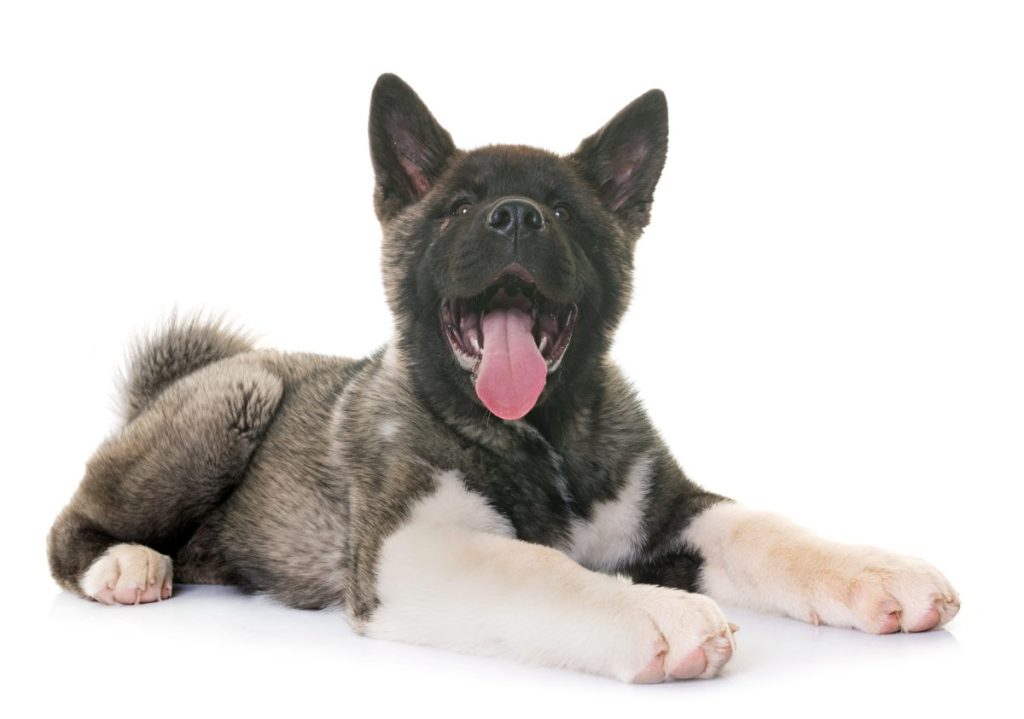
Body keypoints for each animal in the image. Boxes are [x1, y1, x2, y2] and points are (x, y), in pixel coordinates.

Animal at [48, 74, 958, 688]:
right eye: (458, 206)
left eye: (565, 211)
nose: (515, 215)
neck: (546, 432)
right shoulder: (409, 550)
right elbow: (540, 567)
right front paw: (652, 610)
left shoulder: (672, 509)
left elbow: (771, 529)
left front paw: (880, 572)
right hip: (236, 400)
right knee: (69, 524)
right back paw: (123, 565)